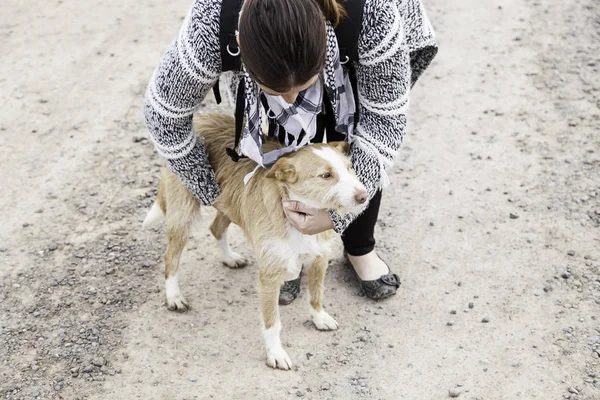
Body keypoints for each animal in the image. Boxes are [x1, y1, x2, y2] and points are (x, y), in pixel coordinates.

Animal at [143, 113, 368, 368]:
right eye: (326, 175)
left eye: (349, 169)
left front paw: (319, 317)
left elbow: (316, 294)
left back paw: (229, 258)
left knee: (216, 228)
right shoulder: (269, 273)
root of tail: (201, 117)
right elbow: (273, 323)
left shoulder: (319, 258)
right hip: (184, 212)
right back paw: (174, 297)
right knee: (171, 257)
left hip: (229, 202)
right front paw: (276, 353)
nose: (364, 196)